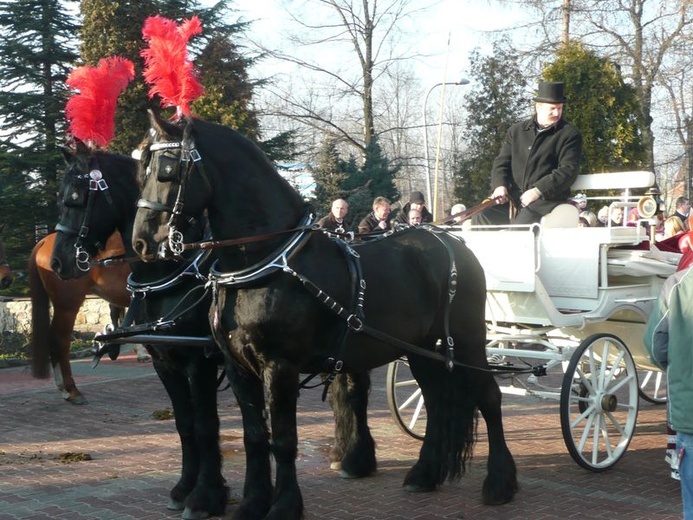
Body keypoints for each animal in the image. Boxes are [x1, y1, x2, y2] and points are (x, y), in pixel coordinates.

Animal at [46, 142, 230, 520]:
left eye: (76, 197)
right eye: (58, 197)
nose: (58, 263)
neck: (172, 272)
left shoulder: (200, 361)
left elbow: (205, 424)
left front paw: (206, 496)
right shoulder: (166, 363)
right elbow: (185, 424)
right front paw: (184, 488)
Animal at [132, 110, 516, 520]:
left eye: (167, 169)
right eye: (142, 169)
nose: (143, 241)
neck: (265, 259)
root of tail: (452, 242)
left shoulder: (275, 366)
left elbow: (282, 439)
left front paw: (282, 505)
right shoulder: (234, 367)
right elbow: (254, 437)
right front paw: (250, 503)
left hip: (468, 339)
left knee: (489, 397)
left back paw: (499, 483)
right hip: (422, 347)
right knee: (437, 399)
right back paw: (425, 473)